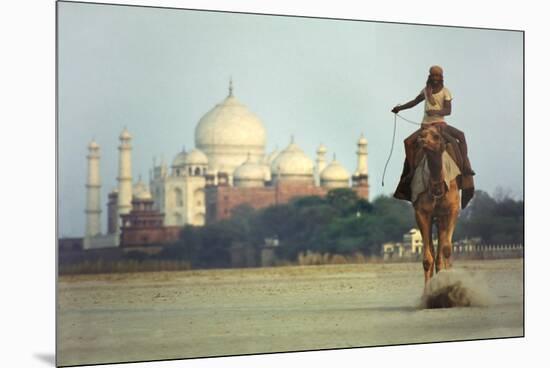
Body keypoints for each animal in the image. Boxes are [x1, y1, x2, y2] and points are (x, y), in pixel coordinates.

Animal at [416, 126, 464, 288]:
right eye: (422, 134)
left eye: (436, 136)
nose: (422, 140)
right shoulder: (421, 212)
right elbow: (427, 258)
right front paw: (427, 292)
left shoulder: (453, 210)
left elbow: (447, 250)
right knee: (433, 252)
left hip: (442, 218)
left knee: (441, 253)